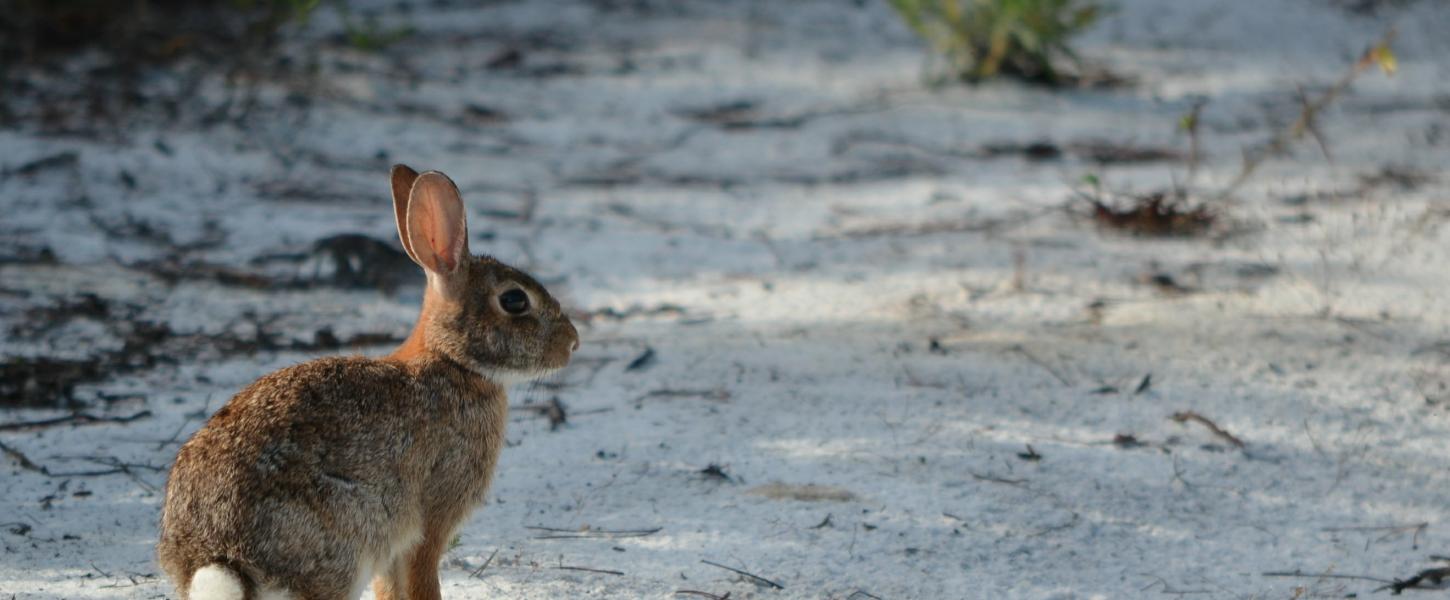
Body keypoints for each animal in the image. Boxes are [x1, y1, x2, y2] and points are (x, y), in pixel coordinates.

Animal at [157, 165, 577, 600]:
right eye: (514, 301)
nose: (572, 343)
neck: (453, 362)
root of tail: (216, 556)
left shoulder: (394, 547)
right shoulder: (431, 518)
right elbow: (423, 580)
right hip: (345, 541)